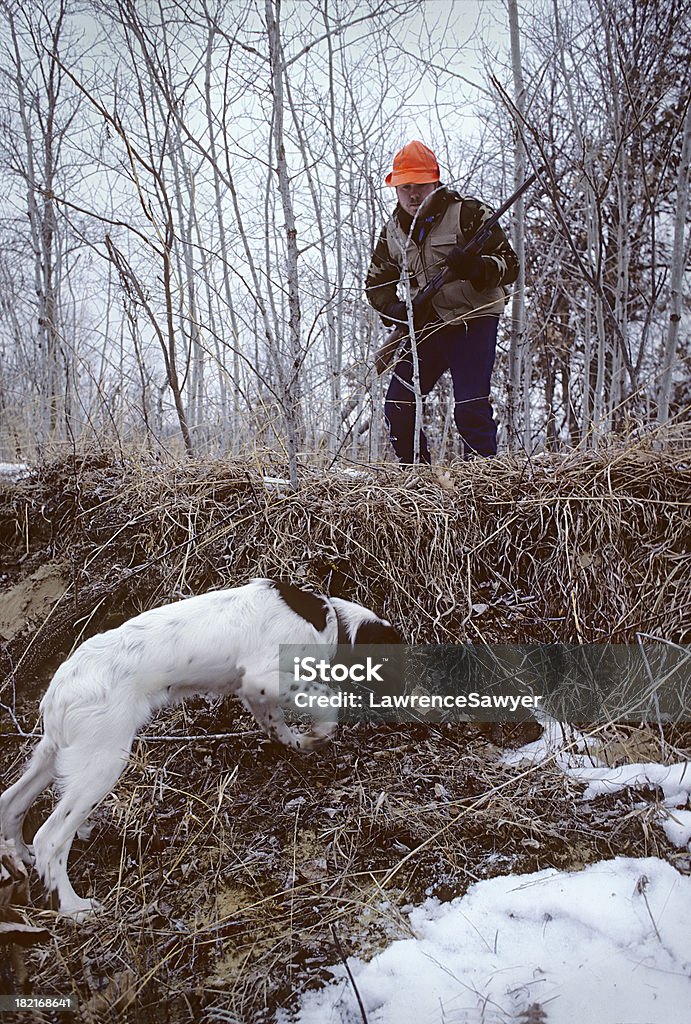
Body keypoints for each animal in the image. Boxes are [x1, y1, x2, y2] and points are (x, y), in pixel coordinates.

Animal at [0, 577, 399, 921]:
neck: (327, 622)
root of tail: (58, 691)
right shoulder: (265, 676)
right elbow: (326, 701)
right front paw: (322, 733)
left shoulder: (255, 690)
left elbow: (277, 726)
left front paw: (302, 743)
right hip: (101, 762)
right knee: (50, 839)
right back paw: (73, 907)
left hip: (54, 754)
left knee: (12, 803)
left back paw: (21, 857)